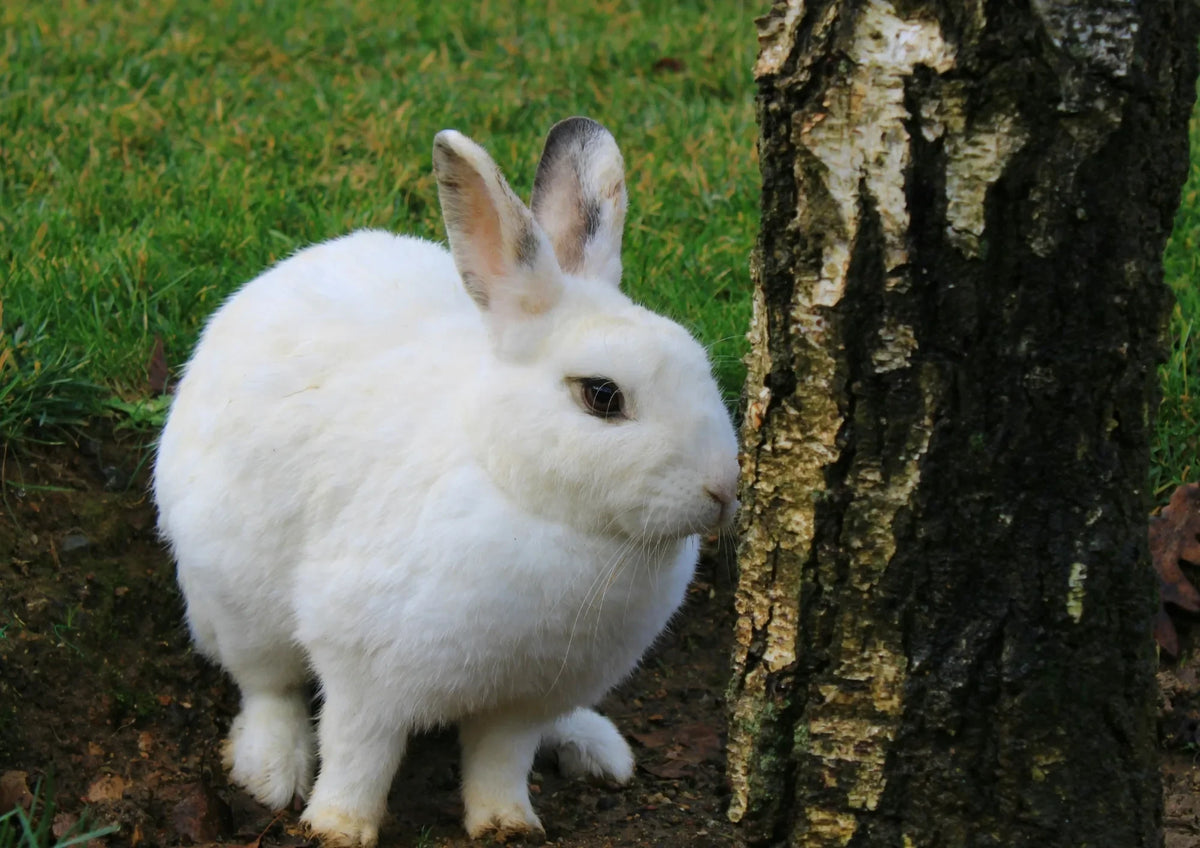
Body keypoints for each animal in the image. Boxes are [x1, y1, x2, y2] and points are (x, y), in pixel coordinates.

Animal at [153, 116, 739, 846]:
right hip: (234, 601)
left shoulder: (524, 700)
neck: (531, 500)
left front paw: (509, 825)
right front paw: (337, 827)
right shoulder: (365, 670)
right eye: (602, 396)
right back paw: (270, 767)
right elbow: (359, 752)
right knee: (268, 685)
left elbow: (500, 762)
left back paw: (593, 745)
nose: (723, 490)